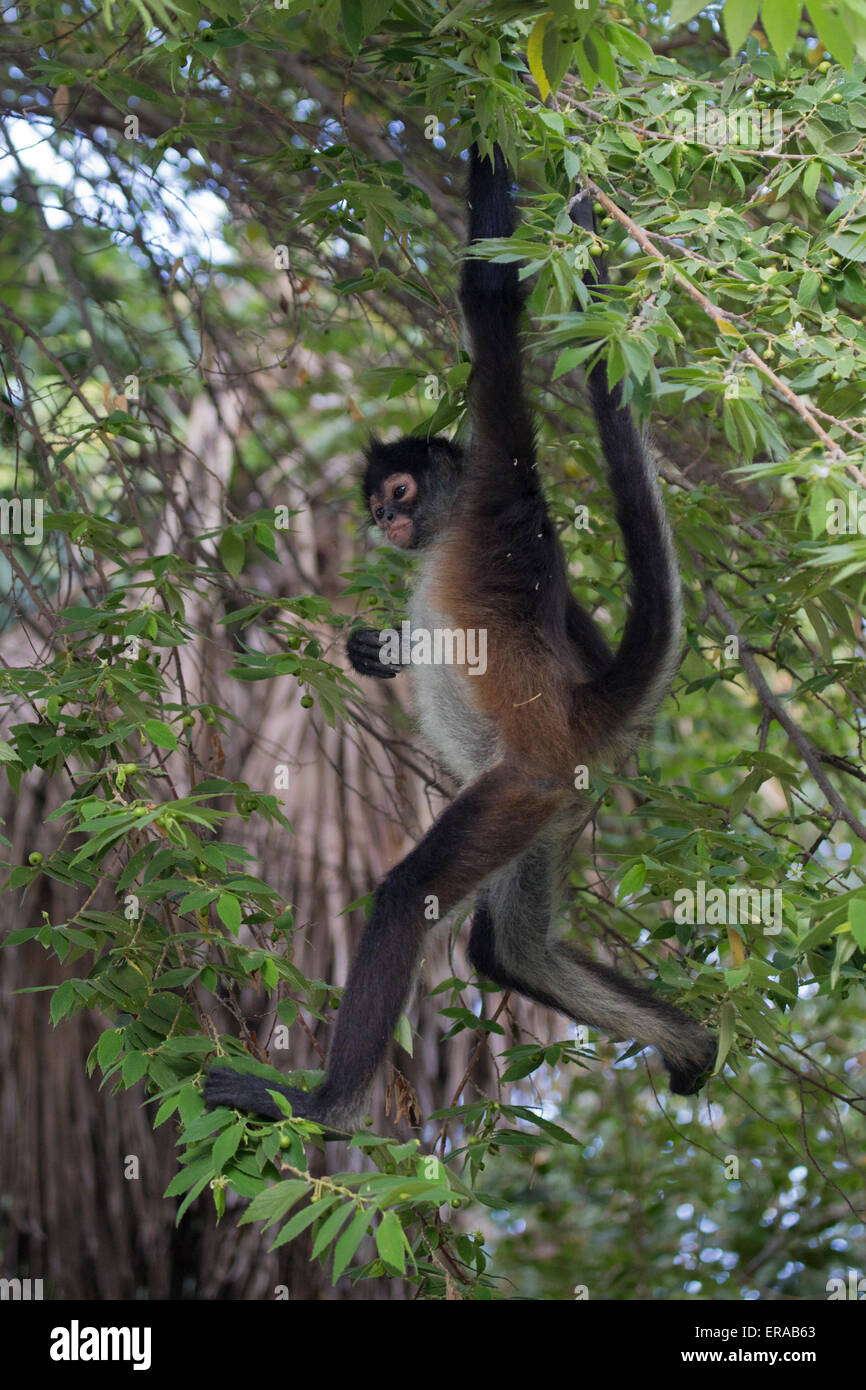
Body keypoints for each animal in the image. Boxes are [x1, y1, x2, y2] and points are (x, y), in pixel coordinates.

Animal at [205, 143, 716, 1135]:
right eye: (377, 508)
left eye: (400, 494)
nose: (388, 523)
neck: (449, 524)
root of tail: (572, 723)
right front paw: (378, 653)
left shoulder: (499, 482)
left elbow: (491, 304)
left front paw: (491, 142)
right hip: (553, 804)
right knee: (507, 952)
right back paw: (695, 1043)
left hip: (517, 787)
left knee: (410, 897)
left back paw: (326, 1106)